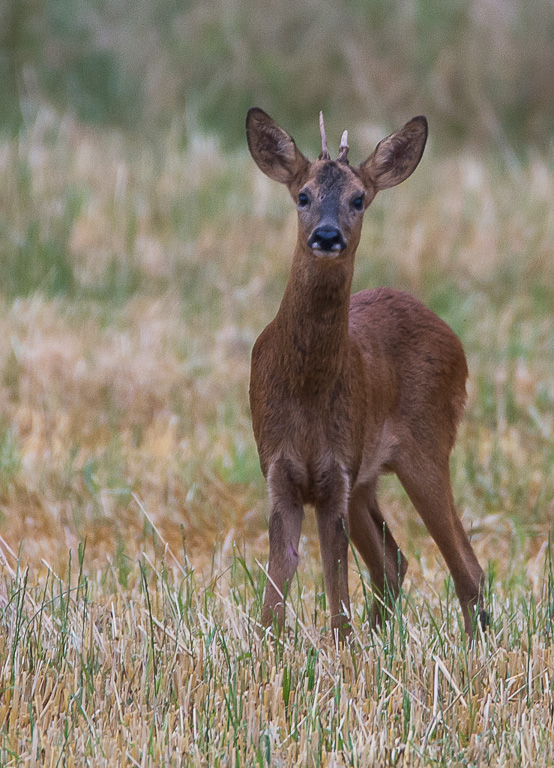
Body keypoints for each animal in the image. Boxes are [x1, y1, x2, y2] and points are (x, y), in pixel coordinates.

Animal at [244, 106, 486, 636]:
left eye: (358, 199)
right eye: (303, 195)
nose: (327, 235)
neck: (306, 390)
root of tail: (450, 335)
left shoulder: (337, 471)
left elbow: (336, 589)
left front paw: (341, 645)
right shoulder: (279, 468)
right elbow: (277, 587)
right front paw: (271, 647)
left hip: (426, 446)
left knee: (466, 565)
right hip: (369, 477)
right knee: (393, 560)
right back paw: (383, 638)